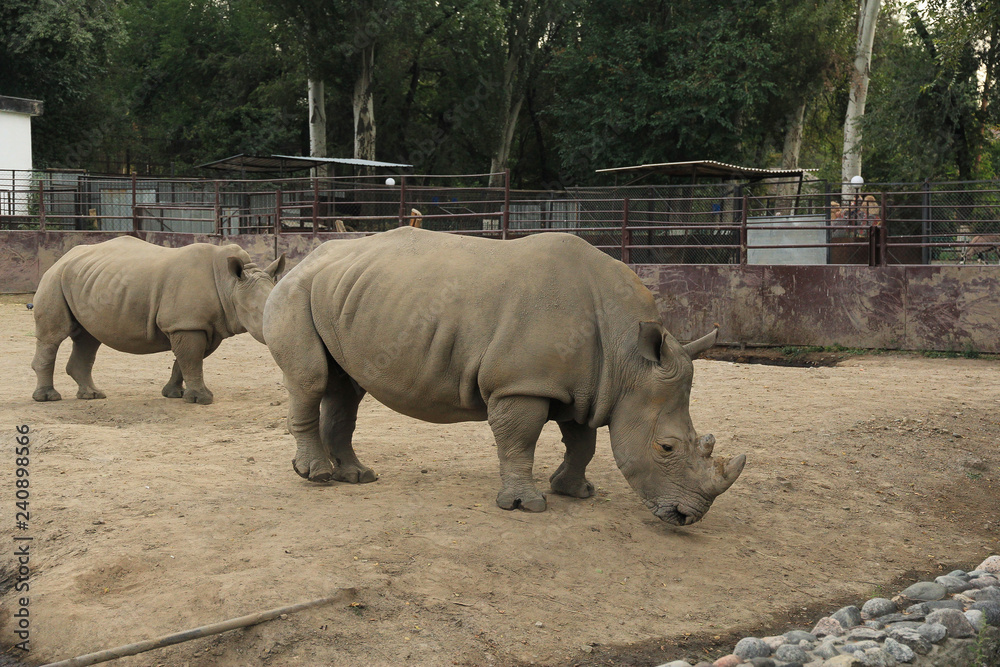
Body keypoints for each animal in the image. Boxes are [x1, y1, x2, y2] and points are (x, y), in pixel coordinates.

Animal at [31, 236, 285, 405]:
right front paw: (202, 399)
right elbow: (192, 360)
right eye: (259, 314)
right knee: (53, 337)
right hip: (54, 279)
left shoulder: (204, 325)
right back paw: (48, 398)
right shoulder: (187, 324)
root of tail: (62, 257)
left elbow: (186, 360)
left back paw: (92, 395)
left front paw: (174, 394)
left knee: (88, 338)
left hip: (85, 280)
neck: (230, 286)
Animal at [263, 227, 744, 525]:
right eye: (666, 447)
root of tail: (302, 260)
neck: (627, 355)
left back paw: (358, 476)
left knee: (346, 389)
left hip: (345, 294)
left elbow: (583, 442)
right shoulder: (521, 384)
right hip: (295, 291)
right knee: (311, 380)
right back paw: (316, 477)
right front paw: (524, 506)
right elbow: (520, 440)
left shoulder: (585, 387)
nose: (689, 516)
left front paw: (575, 491)